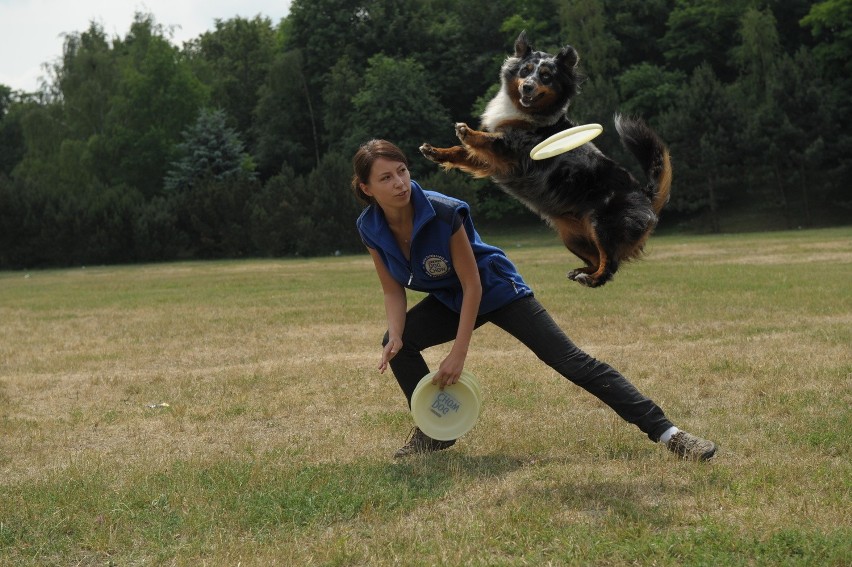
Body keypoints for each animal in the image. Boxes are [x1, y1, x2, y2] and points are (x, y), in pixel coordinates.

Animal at [420, 31, 672, 288]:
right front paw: (436, 151)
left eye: (546, 76)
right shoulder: (493, 163)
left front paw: (468, 132)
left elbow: (486, 140)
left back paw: (592, 279)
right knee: (595, 257)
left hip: (603, 225)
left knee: (610, 262)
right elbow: (462, 152)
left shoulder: (511, 151)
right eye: (525, 71)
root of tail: (646, 195)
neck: (529, 115)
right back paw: (581, 272)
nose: (528, 87)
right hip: (572, 237)